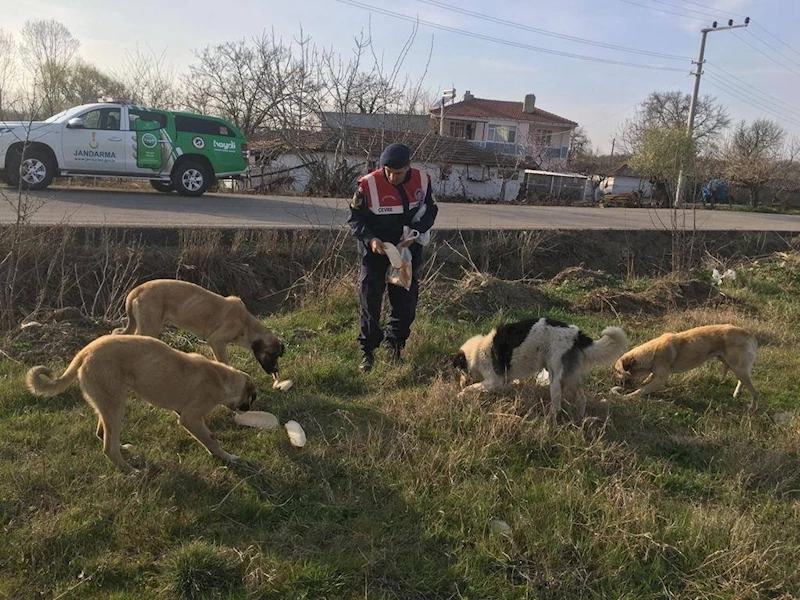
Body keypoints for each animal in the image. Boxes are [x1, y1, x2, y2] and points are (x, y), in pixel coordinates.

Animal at [25, 336, 256, 472]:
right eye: (251, 398)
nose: (249, 409)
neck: (220, 376)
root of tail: (84, 353)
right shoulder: (190, 418)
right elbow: (211, 440)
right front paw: (227, 458)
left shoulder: (182, 413)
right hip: (116, 405)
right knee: (108, 448)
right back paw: (130, 471)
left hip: (108, 404)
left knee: (103, 434)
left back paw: (124, 449)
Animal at [112, 278, 284, 372]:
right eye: (271, 355)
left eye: (277, 356)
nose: (276, 370)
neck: (246, 324)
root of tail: (136, 290)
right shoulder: (217, 341)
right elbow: (224, 362)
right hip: (149, 328)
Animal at [454, 318, 628, 422]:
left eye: (460, 371)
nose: (460, 383)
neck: (476, 351)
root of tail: (577, 335)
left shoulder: (495, 380)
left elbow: (473, 387)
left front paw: (461, 394)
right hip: (568, 378)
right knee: (581, 398)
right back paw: (578, 419)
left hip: (556, 379)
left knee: (557, 406)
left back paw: (548, 421)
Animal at [616, 326, 760, 410]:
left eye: (617, 371)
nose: (616, 382)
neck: (653, 352)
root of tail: (750, 335)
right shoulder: (656, 374)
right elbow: (648, 379)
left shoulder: (662, 378)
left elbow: (642, 390)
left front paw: (628, 396)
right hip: (730, 363)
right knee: (742, 380)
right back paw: (737, 393)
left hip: (738, 367)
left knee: (755, 392)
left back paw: (752, 408)